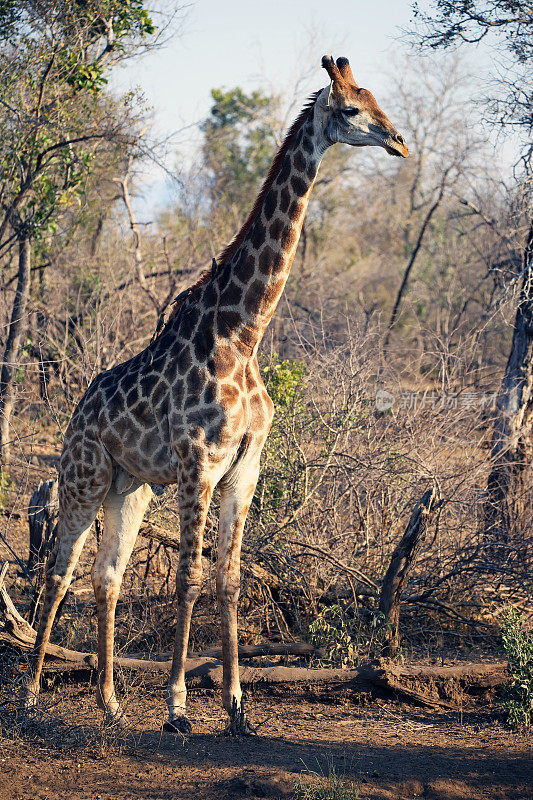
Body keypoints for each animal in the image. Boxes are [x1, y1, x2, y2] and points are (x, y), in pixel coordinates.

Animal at [23, 53, 408, 736]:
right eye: (351, 108)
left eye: (375, 99)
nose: (399, 141)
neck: (244, 333)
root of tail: (77, 413)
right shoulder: (199, 462)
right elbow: (189, 578)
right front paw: (178, 706)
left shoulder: (244, 467)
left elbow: (228, 580)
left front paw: (235, 706)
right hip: (83, 478)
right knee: (58, 572)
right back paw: (32, 694)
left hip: (130, 487)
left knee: (106, 577)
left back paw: (109, 701)